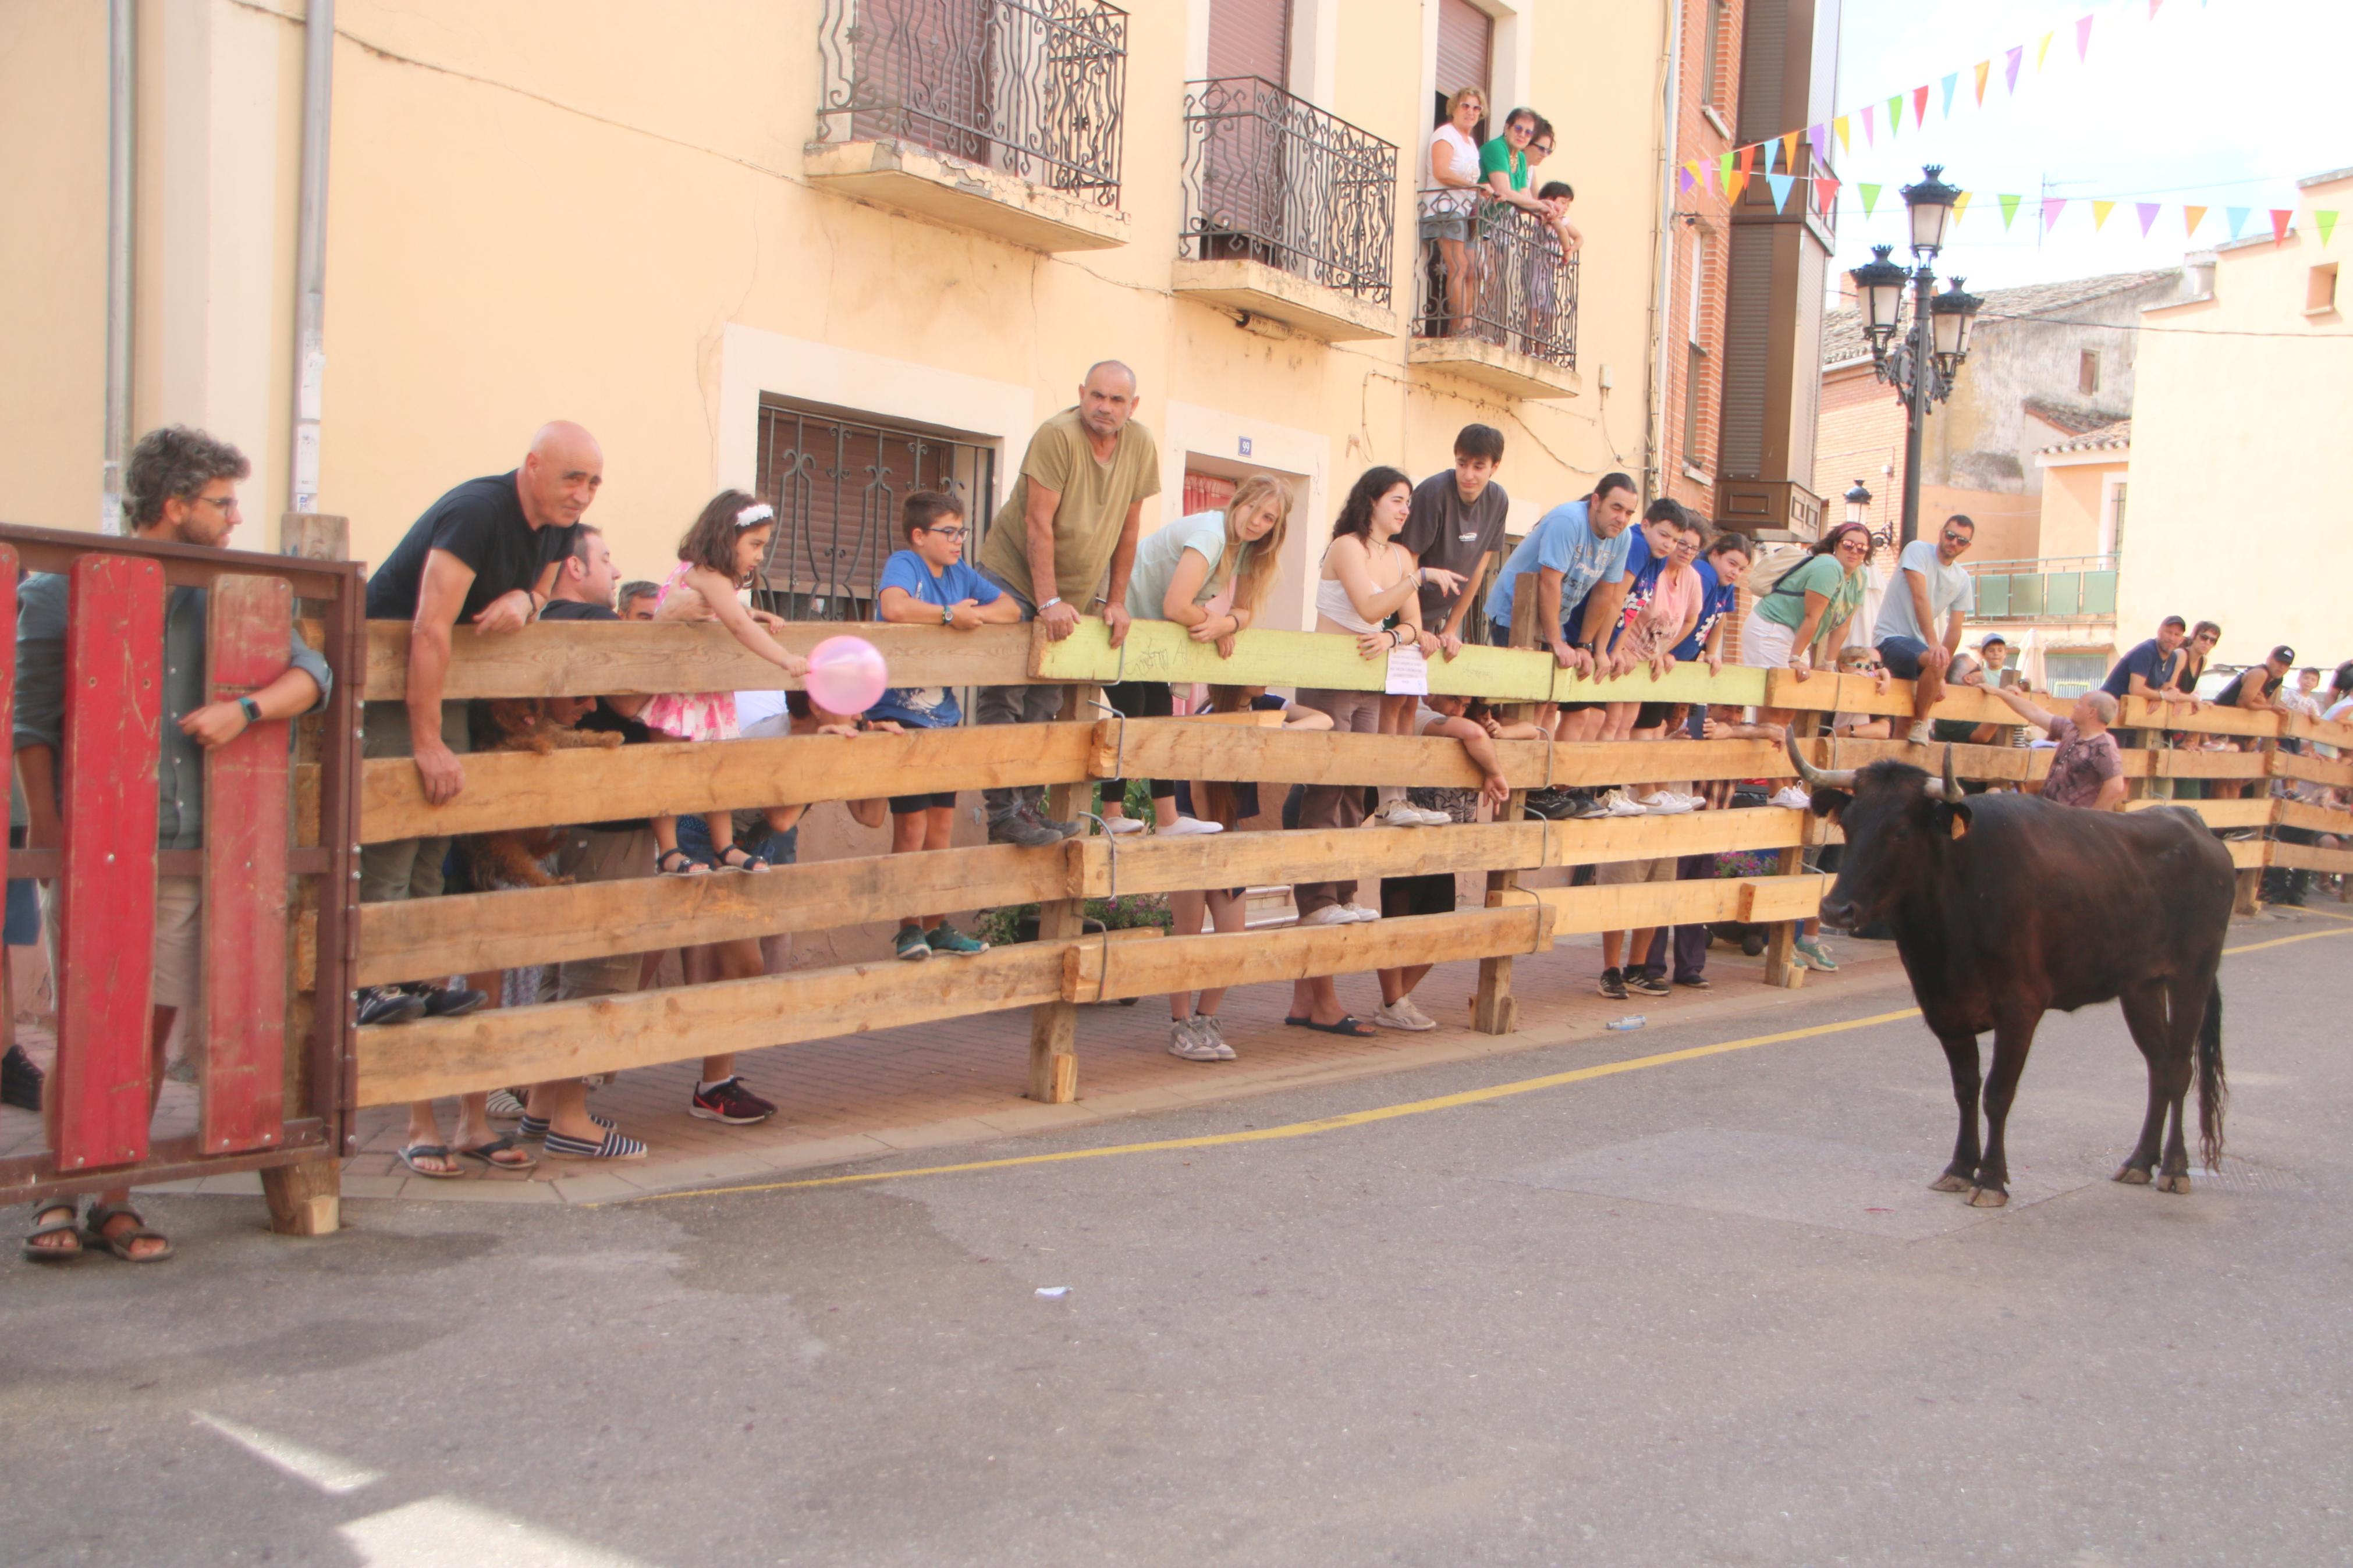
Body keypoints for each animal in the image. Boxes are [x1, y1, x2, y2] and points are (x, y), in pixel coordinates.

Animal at [454, 701, 626, 893]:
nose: (535, 708)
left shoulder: (558, 736)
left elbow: (580, 736)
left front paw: (610, 737)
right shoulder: (500, 747)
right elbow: (519, 741)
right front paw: (541, 744)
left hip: (538, 818)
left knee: (535, 849)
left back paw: (559, 842)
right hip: (508, 848)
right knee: (533, 875)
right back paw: (557, 882)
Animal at [1788, 742, 2230, 1213]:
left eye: (1901, 831)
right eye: (1848, 824)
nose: (1836, 909)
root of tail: (2194, 825)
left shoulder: (2020, 1010)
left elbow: (1998, 1094)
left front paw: (1991, 1179)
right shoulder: (1945, 1011)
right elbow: (1965, 1088)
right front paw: (1960, 1168)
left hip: (2192, 976)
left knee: (2180, 1068)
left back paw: (2174, 1168)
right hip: (2140, 987)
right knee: (2158, 1066)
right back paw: (2139, 1162)